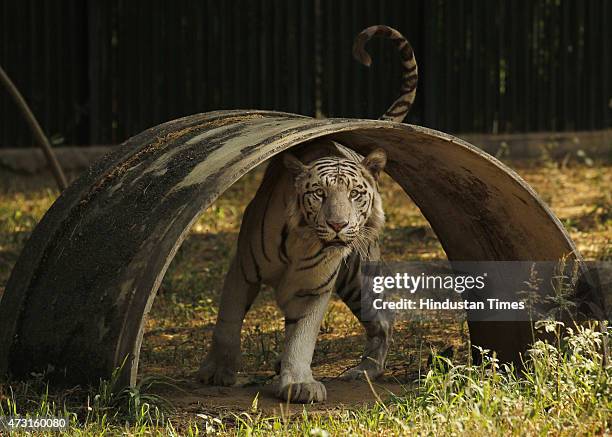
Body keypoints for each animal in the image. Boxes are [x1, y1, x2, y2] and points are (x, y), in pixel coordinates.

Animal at [198, 25, 418, 402]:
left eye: (355, 194)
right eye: (319, 193)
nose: (337, 224)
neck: (301, 242)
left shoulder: (313, 289)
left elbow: (302, 336)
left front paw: (298, 383)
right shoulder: (243, 269)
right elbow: (227, 320)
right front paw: (218, 372)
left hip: (358, 278)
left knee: (385, 320)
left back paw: (364, 371)